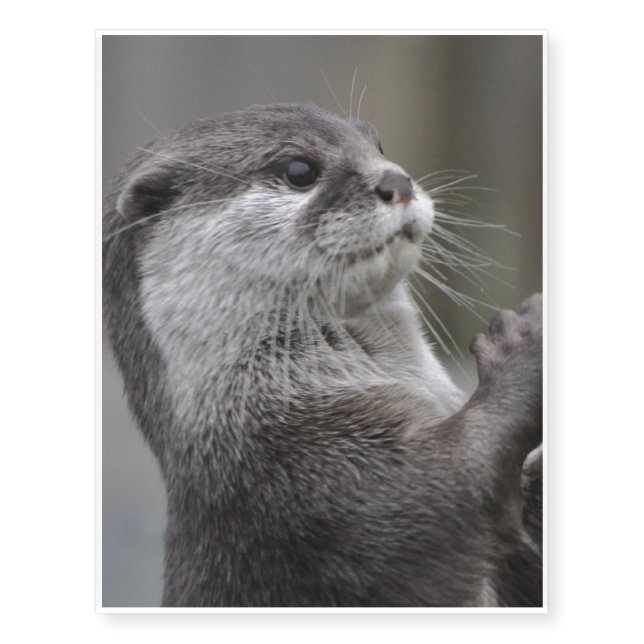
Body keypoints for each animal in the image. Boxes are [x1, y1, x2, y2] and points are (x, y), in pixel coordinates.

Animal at [102, 103, 542, 607]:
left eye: (377, 145)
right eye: (299, 170)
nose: (398, 182)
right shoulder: (313, 489)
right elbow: (452, 485)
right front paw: (522, 343)